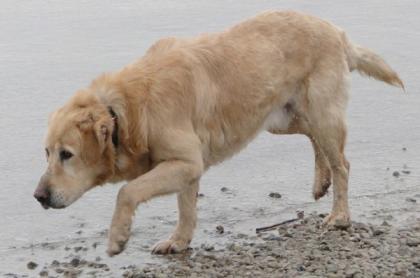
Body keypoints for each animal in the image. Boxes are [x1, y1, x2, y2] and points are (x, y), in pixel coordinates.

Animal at [33, 11, 404, 256]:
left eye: (67, 154)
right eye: (47, 153)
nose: (38, 196)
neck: (126, 109)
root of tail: (337, 31)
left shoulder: (184, 162)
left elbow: (127, 191)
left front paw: (118, 238)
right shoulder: (186, 166)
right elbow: (186, 208)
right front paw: (178, 241)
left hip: (321, 112)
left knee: (342, 163)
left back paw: (339, 215)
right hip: (280, 118)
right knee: (316, 142)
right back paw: (320, 181)